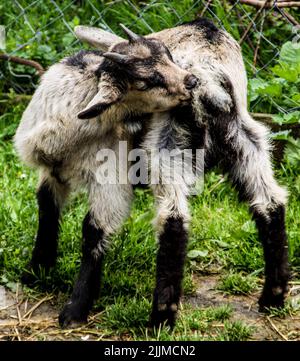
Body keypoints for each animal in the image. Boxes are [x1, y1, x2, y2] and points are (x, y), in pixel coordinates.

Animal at [15, 19, 290, 328]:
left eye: (168, 56)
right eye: (145, 82)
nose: (189, 82)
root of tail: (210, 66)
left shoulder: (111, 178)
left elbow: (94, 230)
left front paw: (75, 309)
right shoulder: (53, 173)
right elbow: (46, 208)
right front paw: (38, 269)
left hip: (166, 144)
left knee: (173, 219)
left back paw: (162, 315)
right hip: (245, 138)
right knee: (270, 203)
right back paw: (273, 296)